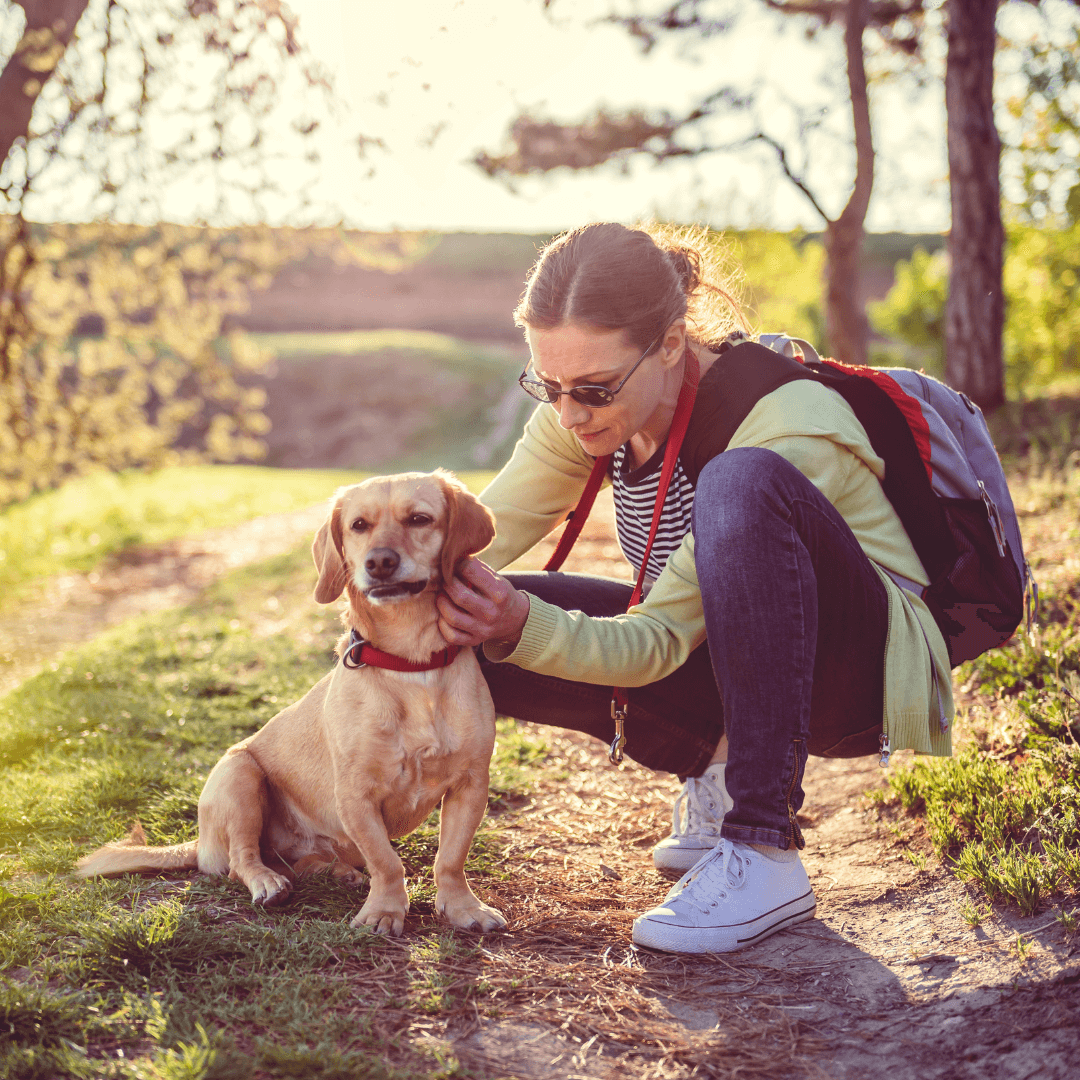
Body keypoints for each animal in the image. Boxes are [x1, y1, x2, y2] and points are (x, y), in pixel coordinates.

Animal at [76, 473, 505, 937]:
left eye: (419, 519)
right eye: (359, 525)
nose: (379, 562)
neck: (411, 666)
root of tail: (201, 841)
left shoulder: (470, 785)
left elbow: (450, 859)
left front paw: (462, 908)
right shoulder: (356, 796)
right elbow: (387, 863)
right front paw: (385, 911)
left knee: (306, 863)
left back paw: (337, 872)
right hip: (240, 774)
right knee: (242, 861)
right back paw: (268, 882)